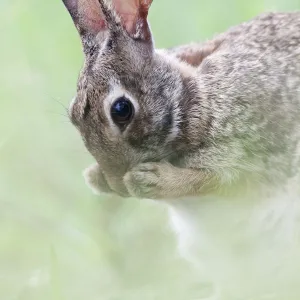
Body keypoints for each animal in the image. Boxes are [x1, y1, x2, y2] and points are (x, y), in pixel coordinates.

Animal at [62, 0, 300, 298]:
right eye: (73, 113)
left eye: (121, 110)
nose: (116, 182)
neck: (189, 99)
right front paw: (97, 178)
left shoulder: (248, 155)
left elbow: (212, 180)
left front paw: (148, 180)